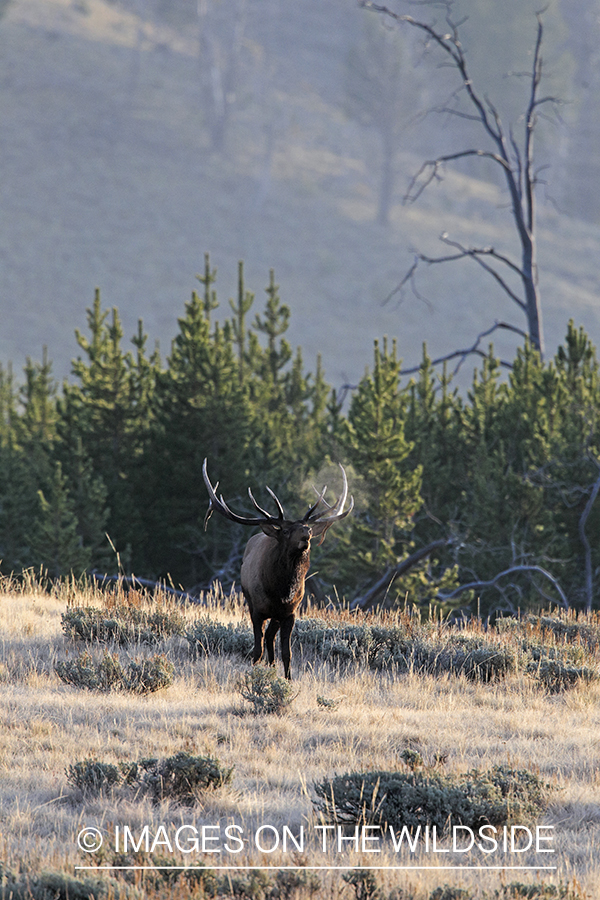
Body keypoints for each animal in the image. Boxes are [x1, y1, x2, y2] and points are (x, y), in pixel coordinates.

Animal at [202, 460, 352, 680]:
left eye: (305, 526)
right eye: (287, 530)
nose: (307, 532)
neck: (281, 590)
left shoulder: (290, 612)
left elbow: (287, 652)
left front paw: (288, 679)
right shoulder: (257, 610)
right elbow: (256, 650)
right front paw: (254, 674)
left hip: (277, 615)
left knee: (270, 637)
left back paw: (272, 667)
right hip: (253, 603)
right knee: (266, 639)